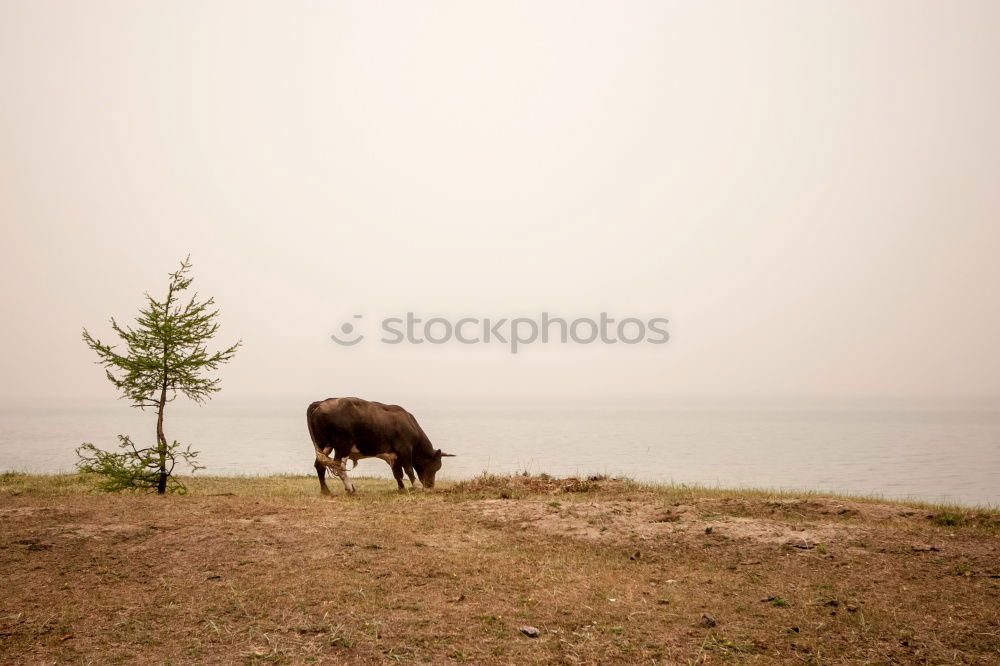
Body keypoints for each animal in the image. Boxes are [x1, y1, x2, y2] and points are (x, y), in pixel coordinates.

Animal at [304, 394, 454, 492]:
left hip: (323, 445)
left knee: (319, 465)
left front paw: (401, 488)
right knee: (338, 466)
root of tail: (321, 402)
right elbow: (408, 469)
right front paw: (415, 486)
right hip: (343, 445)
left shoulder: (394, 455)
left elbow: (397, 473)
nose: (430, 486)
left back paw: (326, 491)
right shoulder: (404, 449)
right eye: (435, 467)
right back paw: (350, 488)